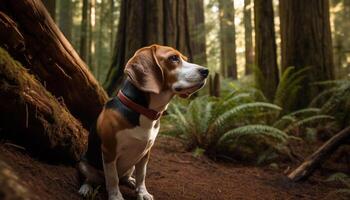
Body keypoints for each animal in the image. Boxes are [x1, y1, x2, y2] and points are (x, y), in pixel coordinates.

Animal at [78, 44, 209, 199]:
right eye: (174, 58)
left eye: (185, 59)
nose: (206, 71)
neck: (143, 111)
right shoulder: (109, 151)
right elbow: (112, 178)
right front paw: (116, 196)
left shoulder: (145, 153)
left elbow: (142, 175)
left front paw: (142, 192)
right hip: (83, 164)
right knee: (92, 178)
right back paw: (86, 187)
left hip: (130, 166)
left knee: (123, 177)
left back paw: (130, 181)